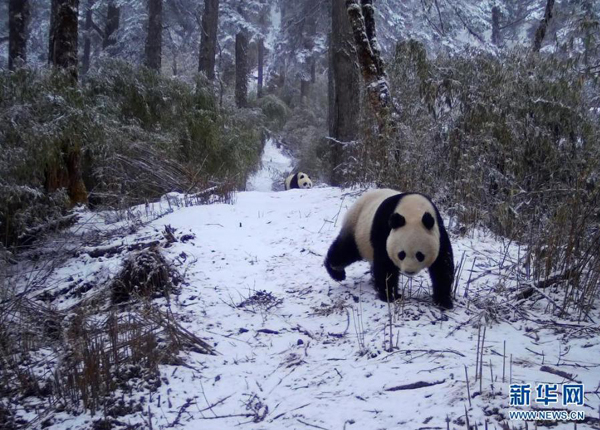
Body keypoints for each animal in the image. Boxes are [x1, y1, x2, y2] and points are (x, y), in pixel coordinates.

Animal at [324, 189, 454, 309]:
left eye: (420, 255)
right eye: (401, 254)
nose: (409, 271)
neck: (414, 211)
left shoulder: (439, 232)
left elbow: (442, 265)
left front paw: (444, 301)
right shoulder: (384, 228)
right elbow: (386, 264)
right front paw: (390, 295)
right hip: (357, 227)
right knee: (346, 249)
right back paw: (336, 272)